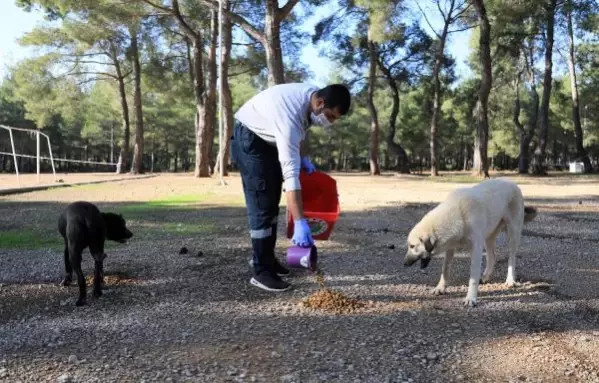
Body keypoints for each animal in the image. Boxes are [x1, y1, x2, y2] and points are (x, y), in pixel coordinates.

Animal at [404, 178, 540, 308]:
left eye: (412, 246)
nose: (404, 263)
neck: (458, 214)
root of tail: (512, 183)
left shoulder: (476, 249)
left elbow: (473, 277)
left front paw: (471, 298)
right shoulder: (450, 248)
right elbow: (445, 269)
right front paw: (440, 288)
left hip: (512, 233)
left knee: (512, 258)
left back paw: (510, 280)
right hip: (488, 237)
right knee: (492, 256)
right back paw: (485, 276)